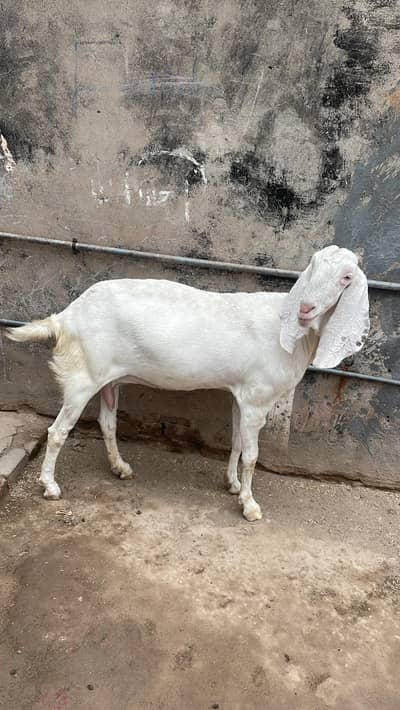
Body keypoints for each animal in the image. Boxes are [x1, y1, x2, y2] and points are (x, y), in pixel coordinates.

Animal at [7, 245, 370, 521]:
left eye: (346, 277)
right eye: (312, 265)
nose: (306, 308)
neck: (289, 329)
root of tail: (66, 316)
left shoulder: (241, 394)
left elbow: (236, 443)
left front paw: (232, 484)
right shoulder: (257, 398)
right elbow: (252, 454)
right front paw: (250, 506)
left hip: (109, 379)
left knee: (107, 423)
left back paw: (120, 467)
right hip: (82, 376)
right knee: (57, 431)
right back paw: (50, 486)